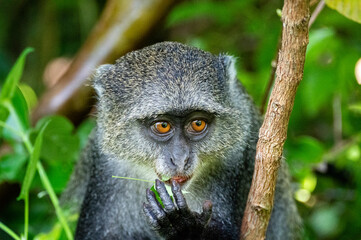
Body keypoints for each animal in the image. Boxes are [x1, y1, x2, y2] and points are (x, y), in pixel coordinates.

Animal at [62, 41, 300, 240]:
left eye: (198, 123)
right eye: (162, 125)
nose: (180, 159)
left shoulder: (235, 156)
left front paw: (185, 227)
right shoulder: (107, 166)